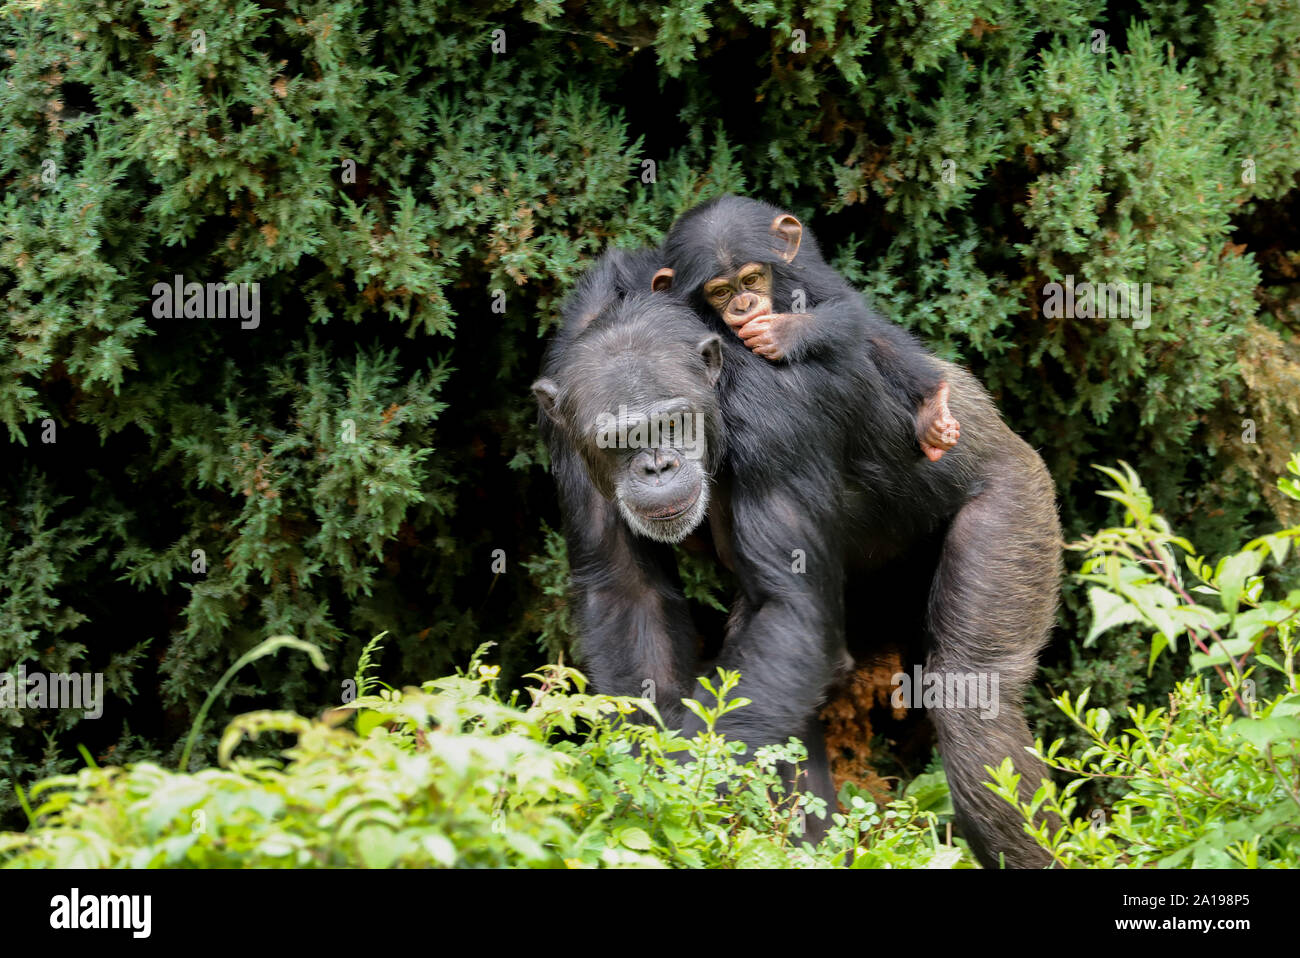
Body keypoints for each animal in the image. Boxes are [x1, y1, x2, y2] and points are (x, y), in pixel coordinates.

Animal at [533, 214, 1060, 868]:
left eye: (673, 423)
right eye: (621, 438)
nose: (657, 465)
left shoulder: (775, 418)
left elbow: (790, 611)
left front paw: (670, 787)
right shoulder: (566, 431)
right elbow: (629, 594)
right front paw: (634, 788)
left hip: (1015, 506)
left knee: (973, 697)